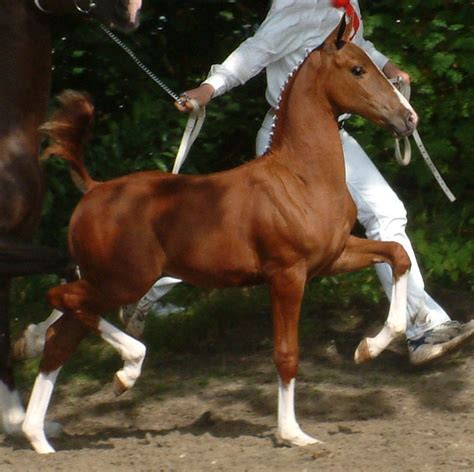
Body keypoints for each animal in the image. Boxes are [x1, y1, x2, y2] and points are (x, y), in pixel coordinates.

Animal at [22, 21, 414, 454]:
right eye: (357, 70)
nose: (408, 118)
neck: (301, 177)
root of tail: (93, 189)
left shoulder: (333, 256)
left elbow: (398, 255)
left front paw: (368, 349)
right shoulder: (287, 275)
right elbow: (287, 353)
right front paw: (294, 433)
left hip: (106, 283)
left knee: (61, 335)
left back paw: (38, 437)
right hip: (122, 282)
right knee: (61, 302)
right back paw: (124, 372)